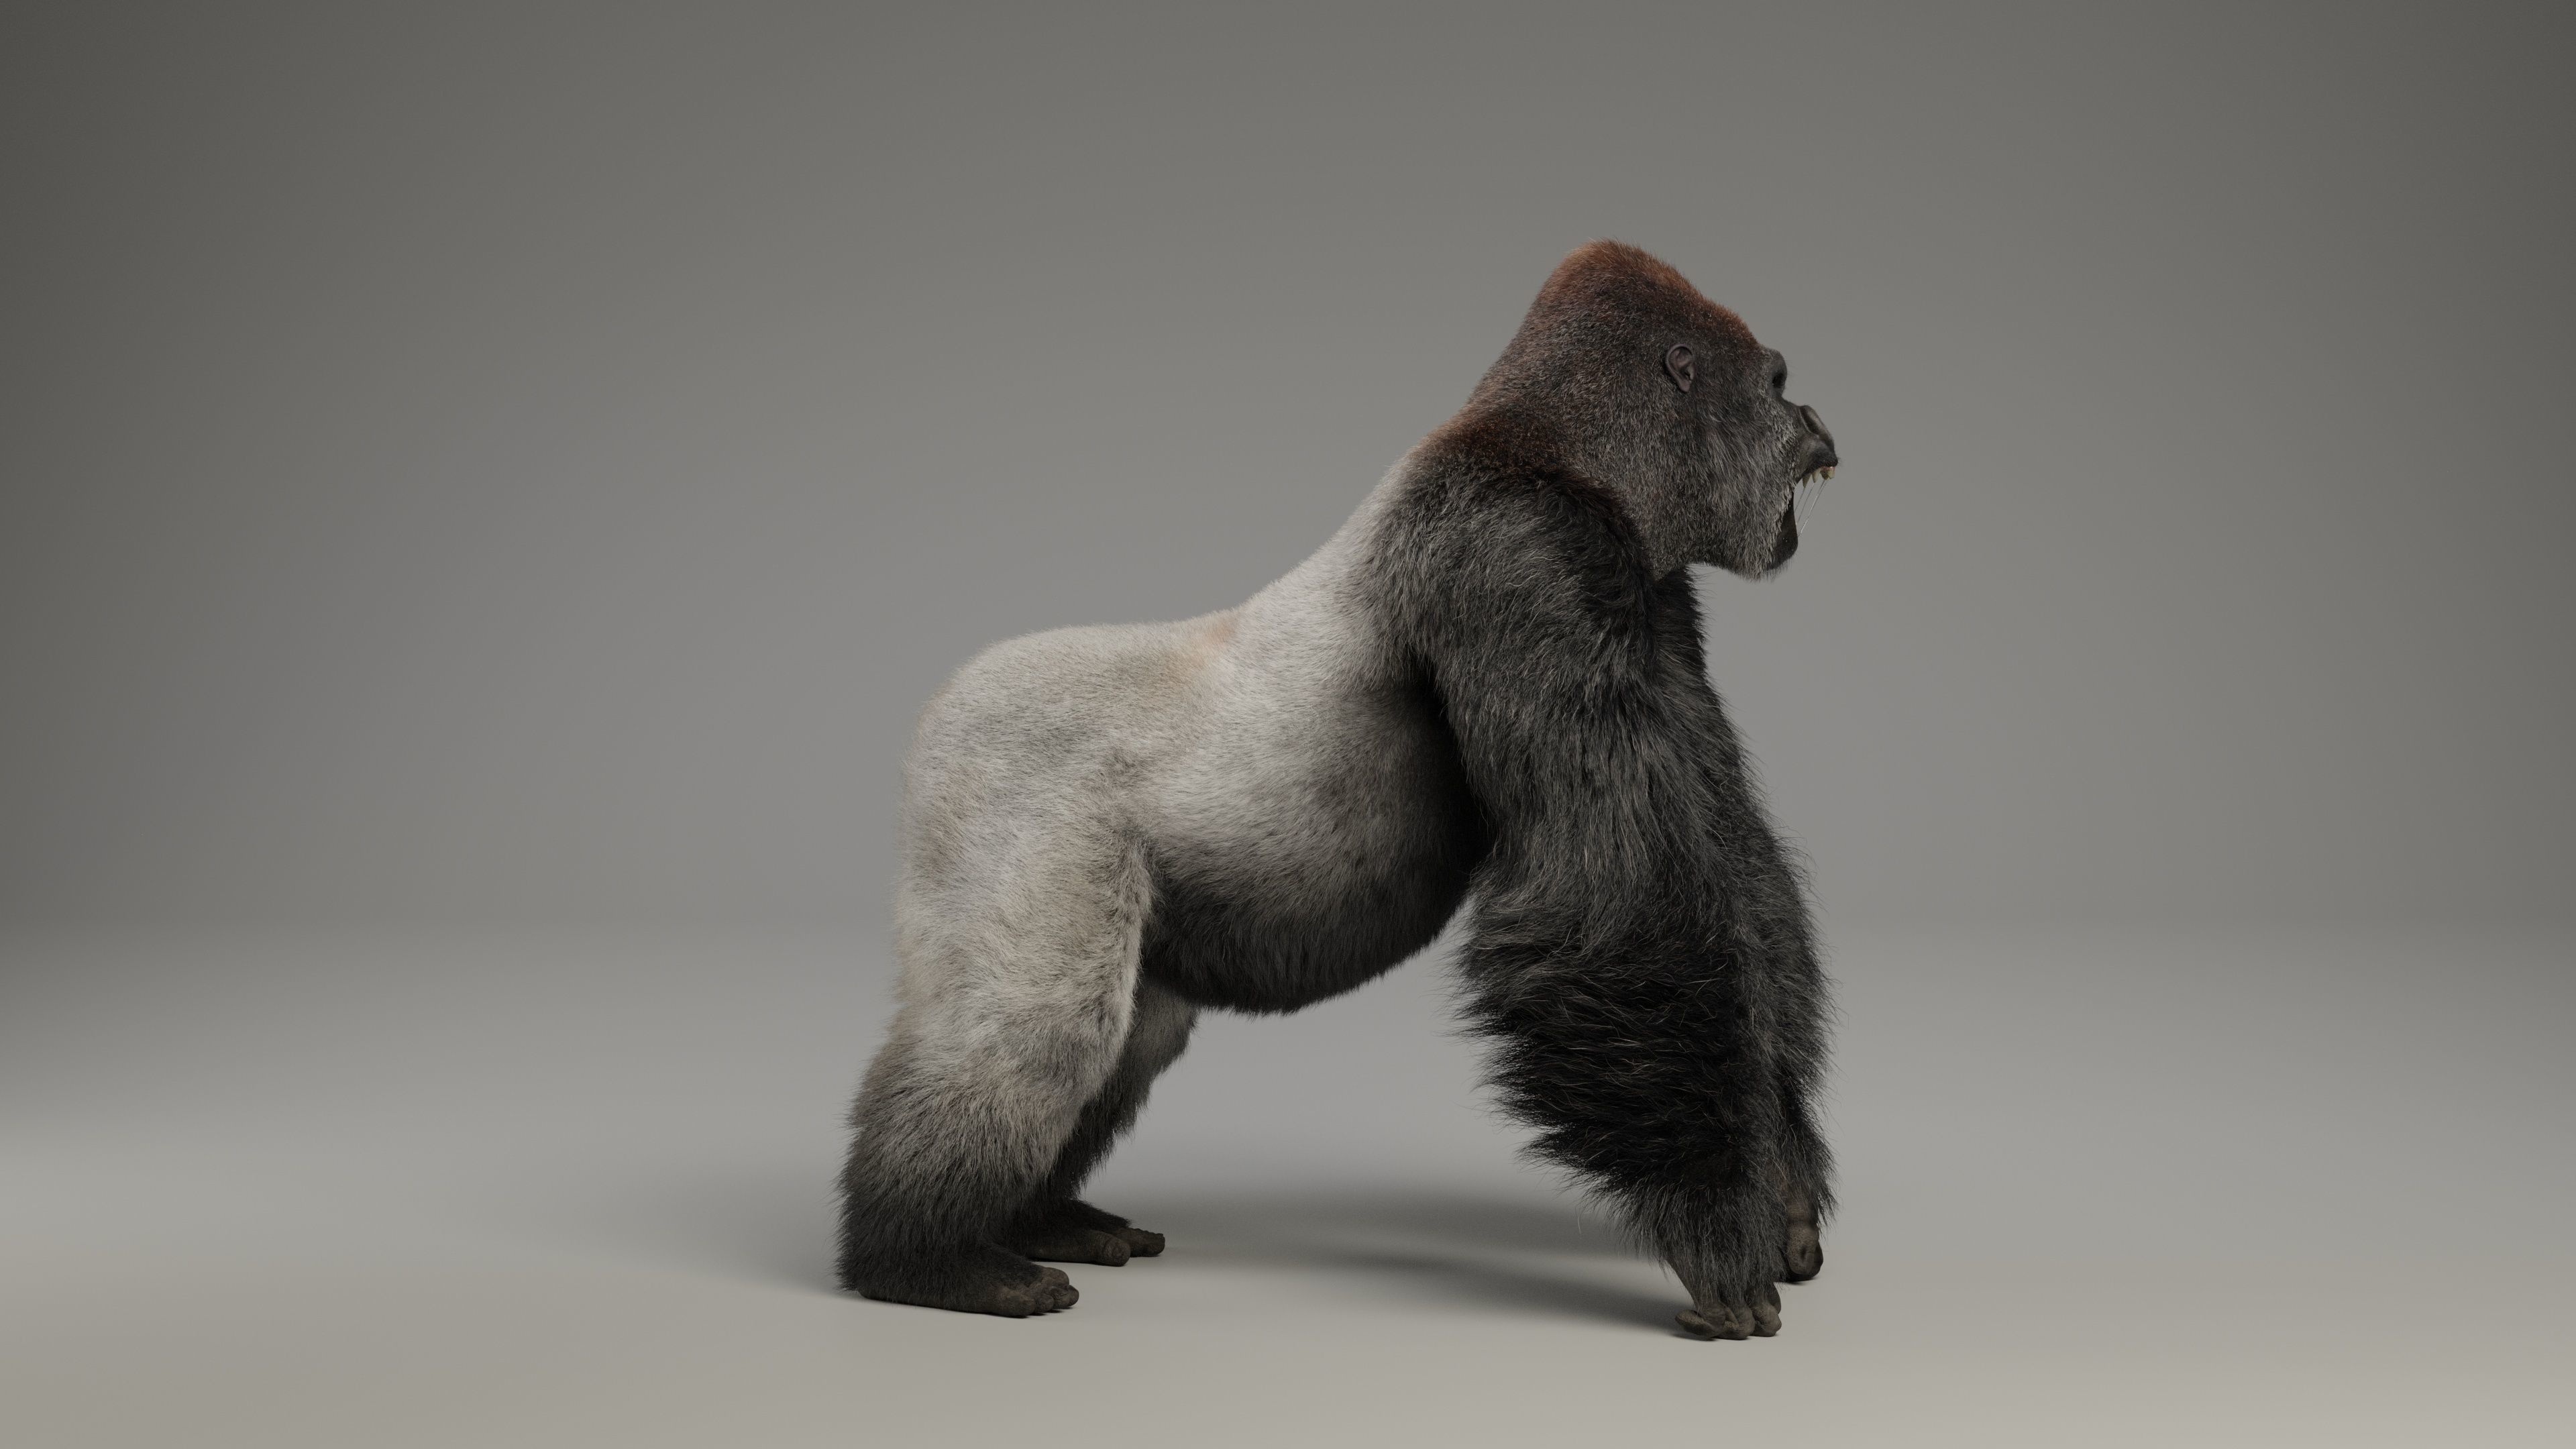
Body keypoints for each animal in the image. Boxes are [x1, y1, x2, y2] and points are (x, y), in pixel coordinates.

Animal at [836, 240, 1840, 1340]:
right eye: (1776, 383)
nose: (1817, 422)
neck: (1555, 444)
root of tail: (940, 709)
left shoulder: (1651, 599)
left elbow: (1728, 865)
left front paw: (1782, 1179)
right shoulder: (1521, 552)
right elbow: (1609, 899)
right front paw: (1716, 1221)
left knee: (1125, 1031)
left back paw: (1039, 1219)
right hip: (986, 779)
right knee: (1037, 1027)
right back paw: (925, 1259)